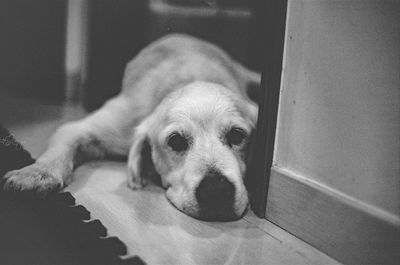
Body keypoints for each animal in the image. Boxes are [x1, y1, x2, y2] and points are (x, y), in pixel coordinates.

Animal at [2, 34, 260, 220]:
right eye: (176, 141)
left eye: (237, 135)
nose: (216, 190)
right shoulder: (99, 126)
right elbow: (62, 148)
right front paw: (37, 173)